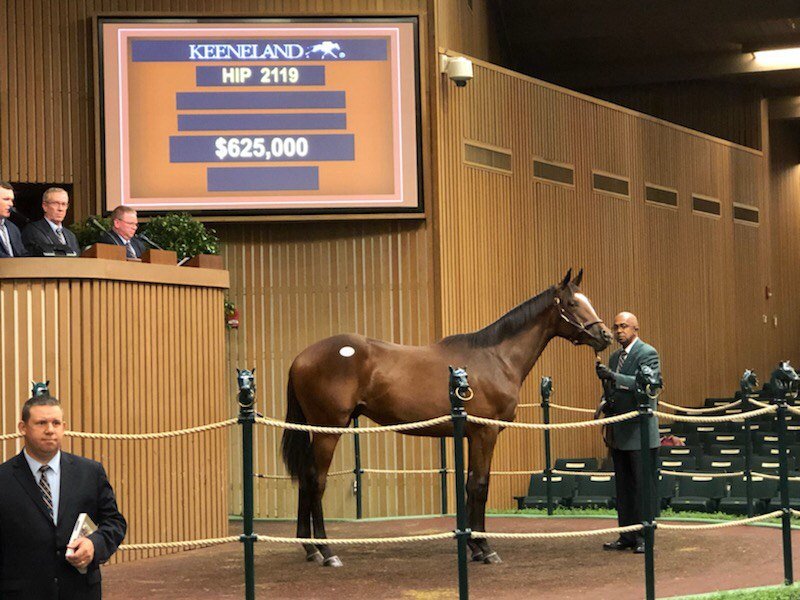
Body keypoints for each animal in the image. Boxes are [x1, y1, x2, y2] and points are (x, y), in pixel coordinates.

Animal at [281, 269, 612, 567]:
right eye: (571, 303)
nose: (605, 335)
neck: (496, 358)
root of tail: (300, 358)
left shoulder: (471, 435)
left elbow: (469, 485)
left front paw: (474, 547)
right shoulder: (485, 433)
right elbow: (480, 485)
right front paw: (485, 548)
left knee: (306, 479)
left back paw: (310, 549)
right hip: (327, 430)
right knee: (316, 481)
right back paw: (327, 552)